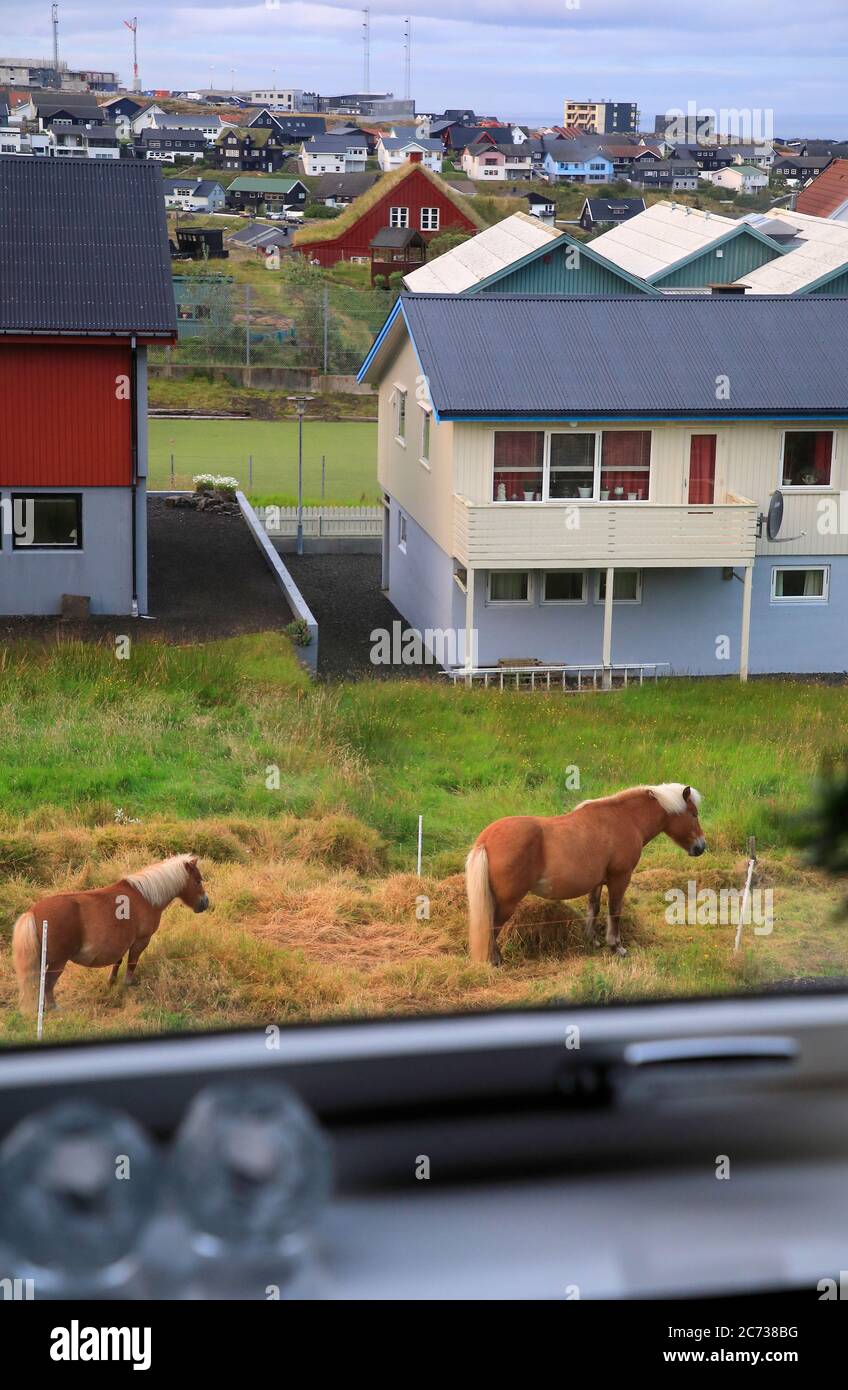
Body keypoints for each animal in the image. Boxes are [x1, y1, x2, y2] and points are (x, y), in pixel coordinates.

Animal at [13, 845, 208, 1011]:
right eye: (198, 881)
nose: (205, 903)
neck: (145, 897)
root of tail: (32, 912)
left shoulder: (120, 943)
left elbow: (117, 962)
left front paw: (111, 982)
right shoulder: (140, 941)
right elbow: (131, 963)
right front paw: (127, 984)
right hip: (57, 963)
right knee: (47, 984)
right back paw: (53, 1008)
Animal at [464, 783, 703, 967]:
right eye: (694, 814)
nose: (701, 847)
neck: (624, 818)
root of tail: (485, 839)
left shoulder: (597, 882)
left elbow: (593, 908)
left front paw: (593, 941)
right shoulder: (620, 878)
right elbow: (614, 910)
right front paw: (616, 946)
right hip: (507, 902)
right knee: (492, 926)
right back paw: (495, 961)